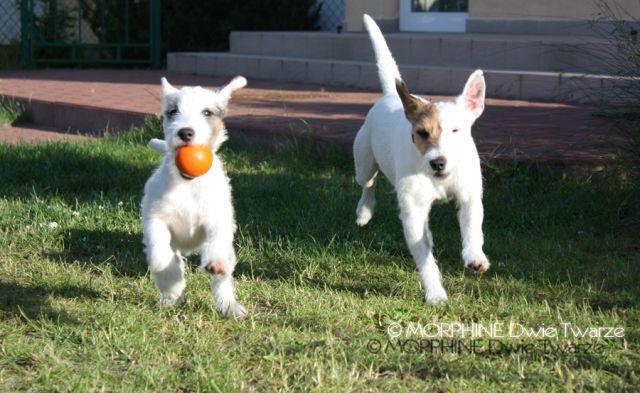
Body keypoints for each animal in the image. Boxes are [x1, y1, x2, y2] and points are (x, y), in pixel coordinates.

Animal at [140, 75, 248, 316]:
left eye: (207, 112)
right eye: (173, 111)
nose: (185, 132)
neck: (188, 184)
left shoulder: (217, 221)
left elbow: (216, 245)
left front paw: (215, 264)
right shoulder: (156, 219)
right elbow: (161, 255)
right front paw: (170, 282)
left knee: (223, 279)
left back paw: (229, 306)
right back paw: (170, 298)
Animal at [356, 15, 490, 304]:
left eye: (456, 130)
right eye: (422, 133)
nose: (438, 162)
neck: (439, 179)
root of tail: (392, 96)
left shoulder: (469, 196)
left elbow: (472, 226)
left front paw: (475, 256)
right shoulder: (414, 213)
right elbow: (424, 254)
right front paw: (435, 292)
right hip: (364, 162)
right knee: (369, 183)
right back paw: (364, 211)